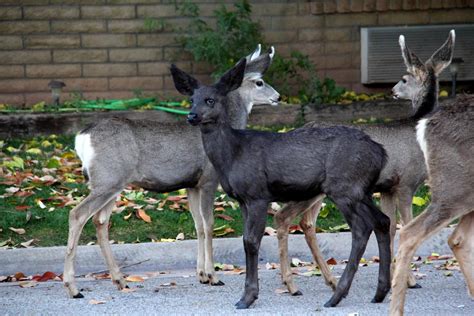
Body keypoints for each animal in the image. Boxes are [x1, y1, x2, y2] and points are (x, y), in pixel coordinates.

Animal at [172, 58, 390, 308]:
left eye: (210, 100)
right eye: (191, 99)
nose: (191, 116)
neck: (233, 154)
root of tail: (381, 153)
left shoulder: (257, 193)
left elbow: (251, 241)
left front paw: (247, 297)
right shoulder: (242, 200)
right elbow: (247, 240)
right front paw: (249, 294)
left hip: (344, 187)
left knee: (361, 228)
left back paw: (337, 295)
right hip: (362, 191)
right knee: (382, 221)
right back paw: (380, 292)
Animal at [388, 29, 474, 314]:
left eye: (404, 79)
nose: (393, 90)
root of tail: (425, 124)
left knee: (457, 238)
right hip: (454, 188)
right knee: (409, 233)